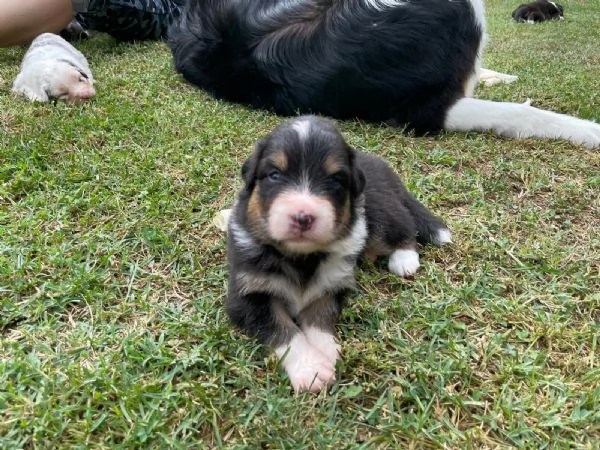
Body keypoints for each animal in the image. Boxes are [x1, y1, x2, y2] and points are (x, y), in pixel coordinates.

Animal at [225, 116, 450, 394]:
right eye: (274, 175)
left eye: (334, 179)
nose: (303, 217)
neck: (301, 258)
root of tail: (382, 166)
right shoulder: (248, 295)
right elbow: (284, 329)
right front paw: (312, 368)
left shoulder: (333, 284)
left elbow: (320, 317)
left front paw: (326, 353)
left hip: (378, 214)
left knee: (405, 225)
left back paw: (404, 259)